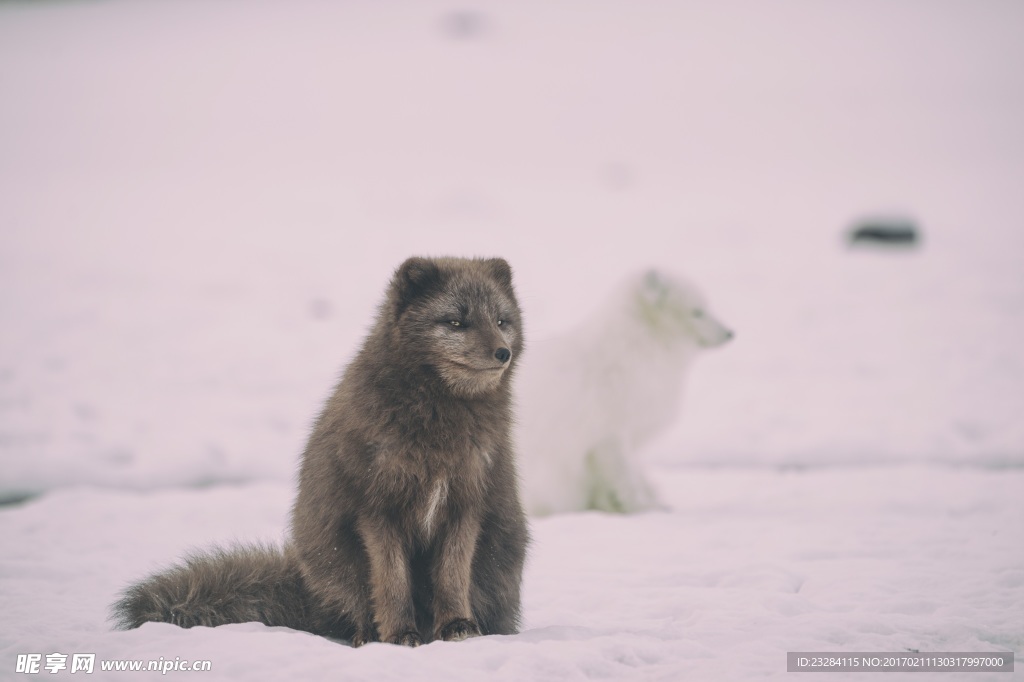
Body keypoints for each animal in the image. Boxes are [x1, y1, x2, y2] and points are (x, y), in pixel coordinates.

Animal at [112, 258, 528, 647]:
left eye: (501, 320)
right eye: (456, 322)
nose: (503, 352)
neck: (438, 425)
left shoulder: (465, 504)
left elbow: (452, 575)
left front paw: (457, 626)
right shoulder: (376, 510)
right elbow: (392, 581)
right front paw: (398, 634)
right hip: (333, 553)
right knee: (357, 607)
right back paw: (369, 635)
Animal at [520, 268, 729, 512]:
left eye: (706, 307)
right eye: (698, 312)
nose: (730, 333)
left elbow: (628, 477)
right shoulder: (609, 435)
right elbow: (625, 479)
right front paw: (643, 508)